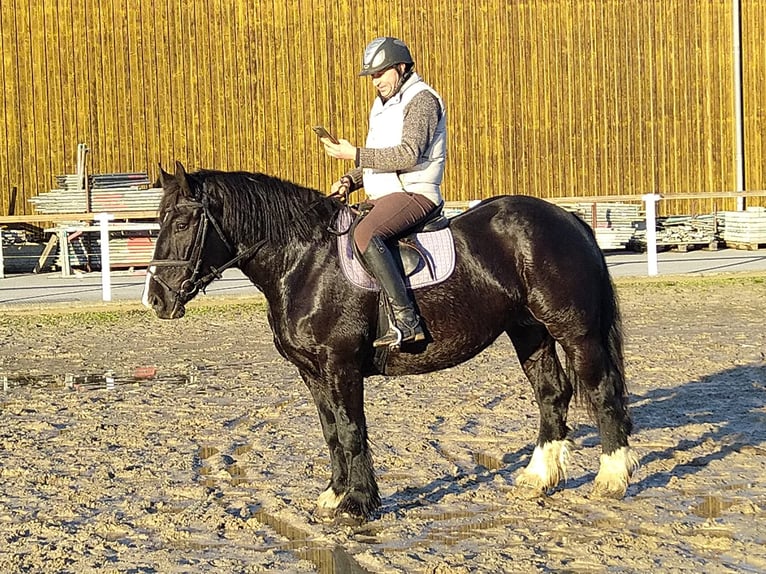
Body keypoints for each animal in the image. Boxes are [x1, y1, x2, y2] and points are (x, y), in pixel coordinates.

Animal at [146, 163, 640, 528]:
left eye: (184, 221)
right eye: (158, 221)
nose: (157, 299)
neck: (304, 261)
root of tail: (567, 218)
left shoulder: (340, 365)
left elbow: (351, 430)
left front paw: (359, 503)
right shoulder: (312, 372)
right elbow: (331, 433)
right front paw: (335, 494)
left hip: (574, 331)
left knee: (601, 392)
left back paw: (612, 477)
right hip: (529, 331)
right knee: (552, 394)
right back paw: (538, 476)